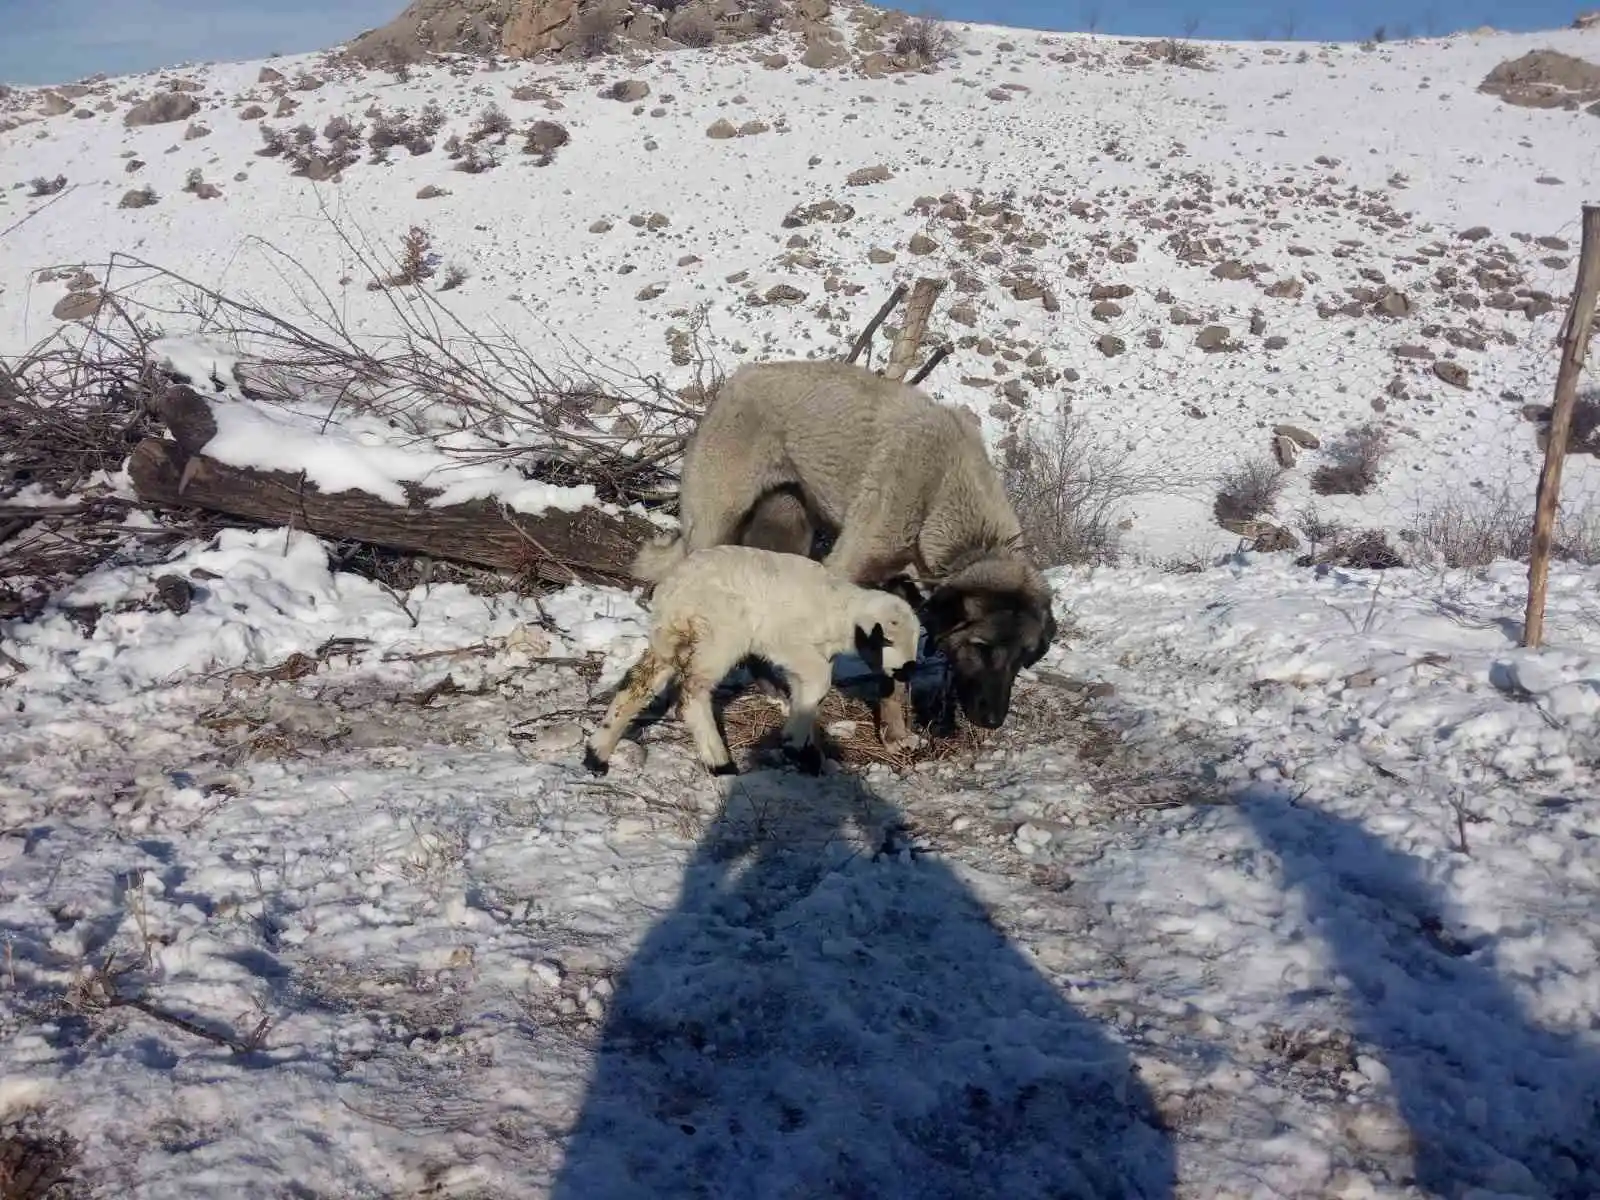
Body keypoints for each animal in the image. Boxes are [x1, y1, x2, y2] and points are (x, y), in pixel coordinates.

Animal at [582, 547, 921, 780]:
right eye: (885, 641)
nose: (908, 669)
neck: (840, 614)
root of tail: (676, 588)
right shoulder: (787, 642)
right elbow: (819, 681)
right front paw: (792, 743)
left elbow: (808, 695)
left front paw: (806, 750)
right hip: (720, 635)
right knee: (692, 692)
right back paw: (720, 762)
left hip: (670, 634)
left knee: (637, 683)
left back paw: (597, 754)